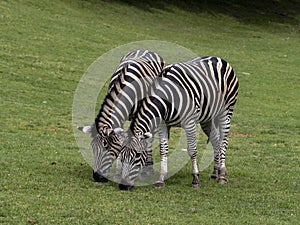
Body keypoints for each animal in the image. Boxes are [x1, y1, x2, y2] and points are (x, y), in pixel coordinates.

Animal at [78, 49, 165, 183]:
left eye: (107, 147)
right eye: (92, 147)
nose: (97, 178)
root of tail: (146, 50)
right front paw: (119, 173)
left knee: (150, 138)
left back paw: (148, 169)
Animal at [115, 56, 239, 190]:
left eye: (138, 155)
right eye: (122, 156)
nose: (123, 186)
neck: (167, 97)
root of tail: (218, 58)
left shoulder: (189, 122)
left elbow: (192, 150)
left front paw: (195, 179)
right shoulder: (163, 124)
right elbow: (163, 150)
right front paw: (161, 179)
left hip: (226, 111)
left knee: (223, 142)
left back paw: (222, 175)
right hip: (207, 119)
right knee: (215, 140)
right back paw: (215, 173)